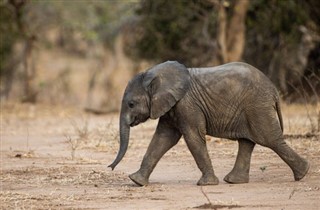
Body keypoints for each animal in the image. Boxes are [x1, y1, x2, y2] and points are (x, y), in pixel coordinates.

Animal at [109, 60, 308, 185]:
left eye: (131, 104)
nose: (110, 167)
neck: (154, 74)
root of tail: (274, 89)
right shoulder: (171, 106)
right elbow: (163, 138)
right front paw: (136, 181)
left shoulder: (187, 105)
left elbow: (193, 138)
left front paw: (207, 184)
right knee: (247, 142)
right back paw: (233, 181)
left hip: (257, 106)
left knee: (269, 139)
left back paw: (303, 174)